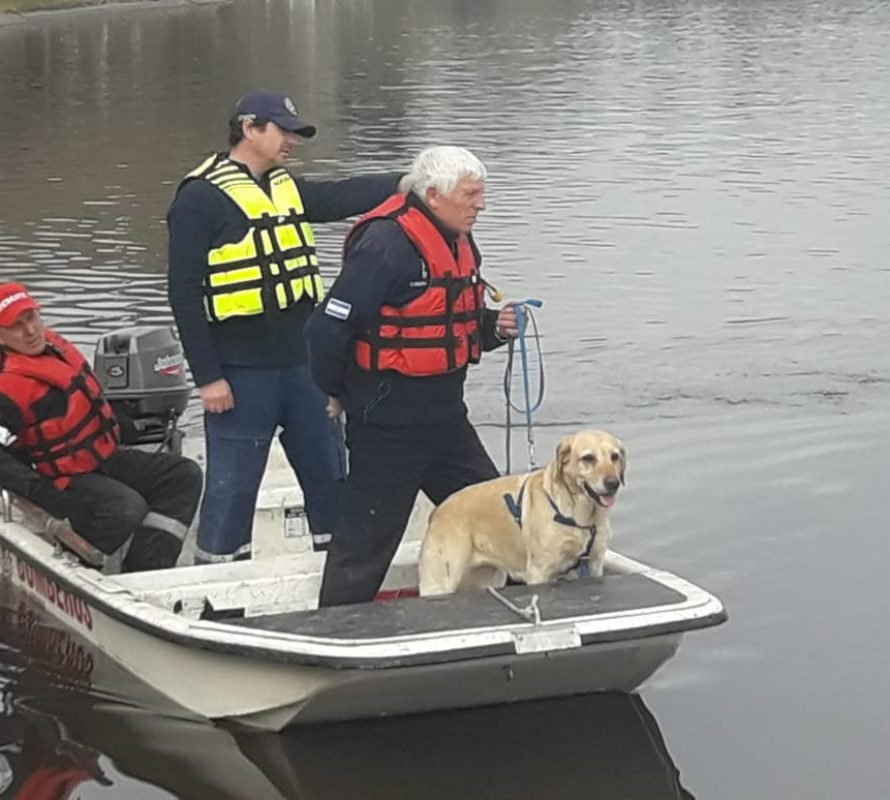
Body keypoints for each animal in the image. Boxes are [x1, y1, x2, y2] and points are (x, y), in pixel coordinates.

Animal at [416, 432, 624, 592]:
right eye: (588, 458)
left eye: (614, 456)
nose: (613, 483)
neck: (582, 517)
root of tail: (438, 511)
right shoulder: (539, 572)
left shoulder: (594, 563)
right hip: (440, 582)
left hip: (488, 578)